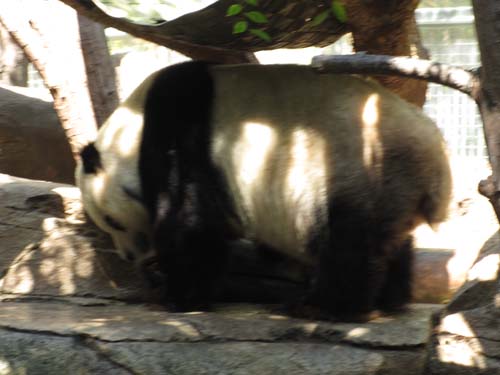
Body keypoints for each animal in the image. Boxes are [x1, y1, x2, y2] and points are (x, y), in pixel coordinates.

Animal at [76, 61, 452, 320]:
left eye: (112, 220)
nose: (130, 256)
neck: (133, 129)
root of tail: (434, 157)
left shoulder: (179, 133)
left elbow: (190, 221)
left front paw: (175, 295)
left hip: (358, 169)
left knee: (350, 243)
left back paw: (322, 306)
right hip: (391, 185)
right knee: (391, 243)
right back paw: (389, 299)